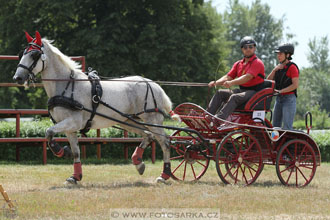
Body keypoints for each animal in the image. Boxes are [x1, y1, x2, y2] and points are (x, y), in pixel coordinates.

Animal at [12, 31, 178, 185]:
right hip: (128, 121)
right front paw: (75, 176)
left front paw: (60, 151)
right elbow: (76, 152)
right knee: (148, 135)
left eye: (34, 55)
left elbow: (48, 132)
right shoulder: (69, 128)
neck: (67, 86)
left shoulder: (73, 122)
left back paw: (164, 175)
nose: (17, 78)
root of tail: (153, 84)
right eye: (21, 54)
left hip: (152, 119)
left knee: (165, 142)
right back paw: (138, 162)